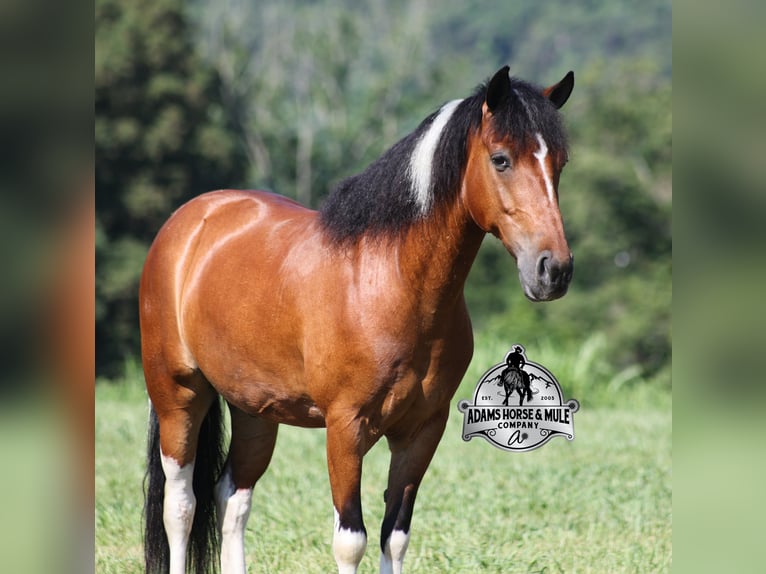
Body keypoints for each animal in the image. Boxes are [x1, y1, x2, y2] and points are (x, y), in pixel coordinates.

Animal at [141, 65, 575, 574]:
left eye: (560, 164)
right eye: (502, 159)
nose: (553, 270)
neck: (389, 281)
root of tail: (190, 220)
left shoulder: (420, 432)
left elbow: (395, 536)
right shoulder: (345, 429)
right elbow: (351, 540)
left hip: (254, 410)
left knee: (232, 498)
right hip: (179, 396)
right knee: (181, 506)